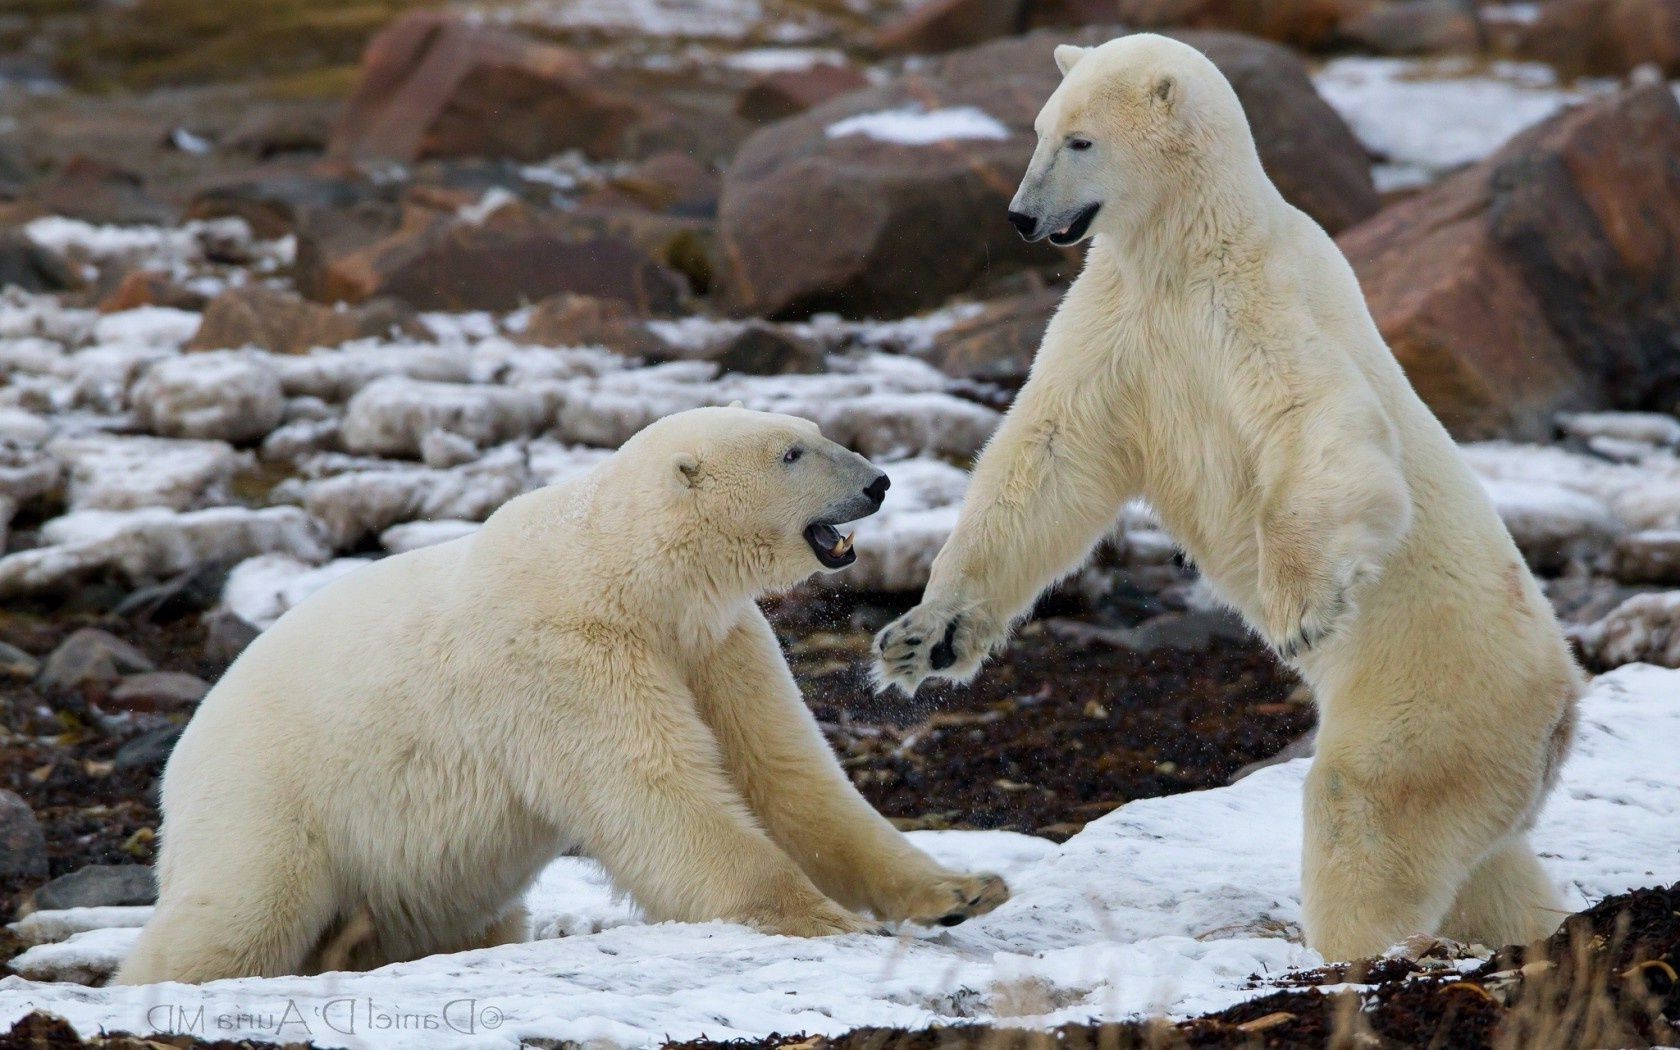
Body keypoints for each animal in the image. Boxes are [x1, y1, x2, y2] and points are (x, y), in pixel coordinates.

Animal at [124, 404, 1007, 987]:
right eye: (793, 453)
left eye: (818, 432)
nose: (880, 482)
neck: (624, 570)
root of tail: (183, 754)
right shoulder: (564, 656)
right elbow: (656, 791)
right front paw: (823, 917)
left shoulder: (714, 644)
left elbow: (788, 776)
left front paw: (962, 891)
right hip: (271, 801)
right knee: (240, 913)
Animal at [873, 36, 1579, 960]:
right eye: (1038, 129)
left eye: (1081, 141)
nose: (1020, 218)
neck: (1188, 244)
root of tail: (1564, 702)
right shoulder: (1118, 319)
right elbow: (1046, 460)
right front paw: (922, 637)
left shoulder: (1254, 302)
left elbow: (1320, 421)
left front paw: (1300, 609)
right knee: (1487, 865)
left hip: (1437, 694)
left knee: (1368, 807)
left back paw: (1361, 948)